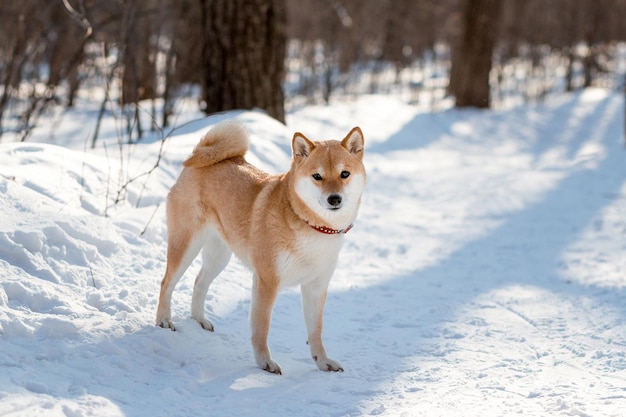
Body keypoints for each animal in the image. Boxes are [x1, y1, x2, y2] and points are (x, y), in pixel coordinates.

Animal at [153, 120, 364, 374]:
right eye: (317, 176)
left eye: (345, 174)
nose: (334, 199)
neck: (312, 226)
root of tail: (199, 156)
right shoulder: (267, 282)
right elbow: (262, 328)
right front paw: (265, 362)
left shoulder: (316, 287)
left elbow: (316, 332)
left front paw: (323, 362)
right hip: (186, 245)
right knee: (167, 283)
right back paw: (164, 320)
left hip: (219, 255)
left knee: (199, 282)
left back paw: (199, 320)